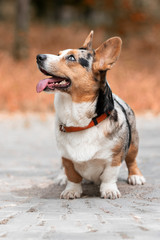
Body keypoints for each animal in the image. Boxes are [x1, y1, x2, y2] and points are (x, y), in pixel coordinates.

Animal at [36, 31, 145, 200]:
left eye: (71, 58)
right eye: (58, 54)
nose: (39, 57)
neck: (80, 123)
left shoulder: (114, 158)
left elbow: (109, 176)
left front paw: (109, 190)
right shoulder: (67, 157)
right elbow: (72, 175)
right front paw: (71, 190)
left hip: (133, 142)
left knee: (132, 160)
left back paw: (135, 176)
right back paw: (61, 177)